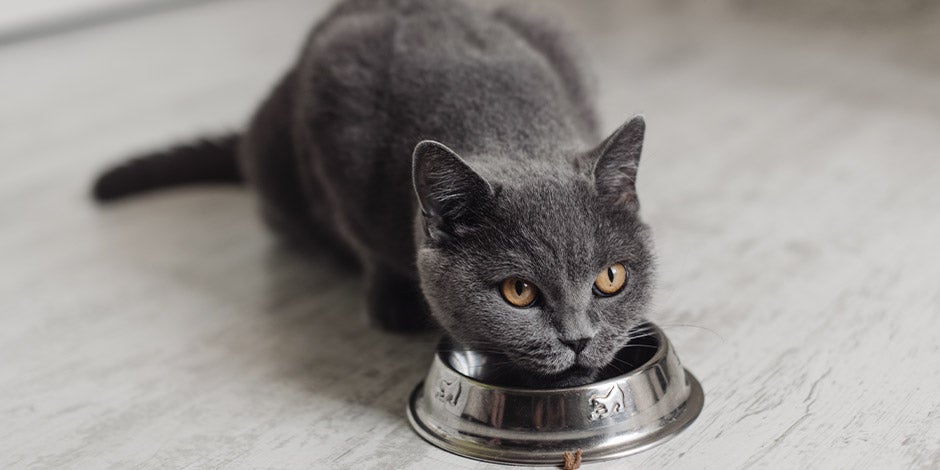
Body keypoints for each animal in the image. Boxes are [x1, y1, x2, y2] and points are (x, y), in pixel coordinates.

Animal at [93, 0, 652, 390]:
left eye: (611, 278)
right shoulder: (335, 117)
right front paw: (392, 304)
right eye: (519, 291)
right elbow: (367, 245)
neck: (503, 119)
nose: (579, 339)